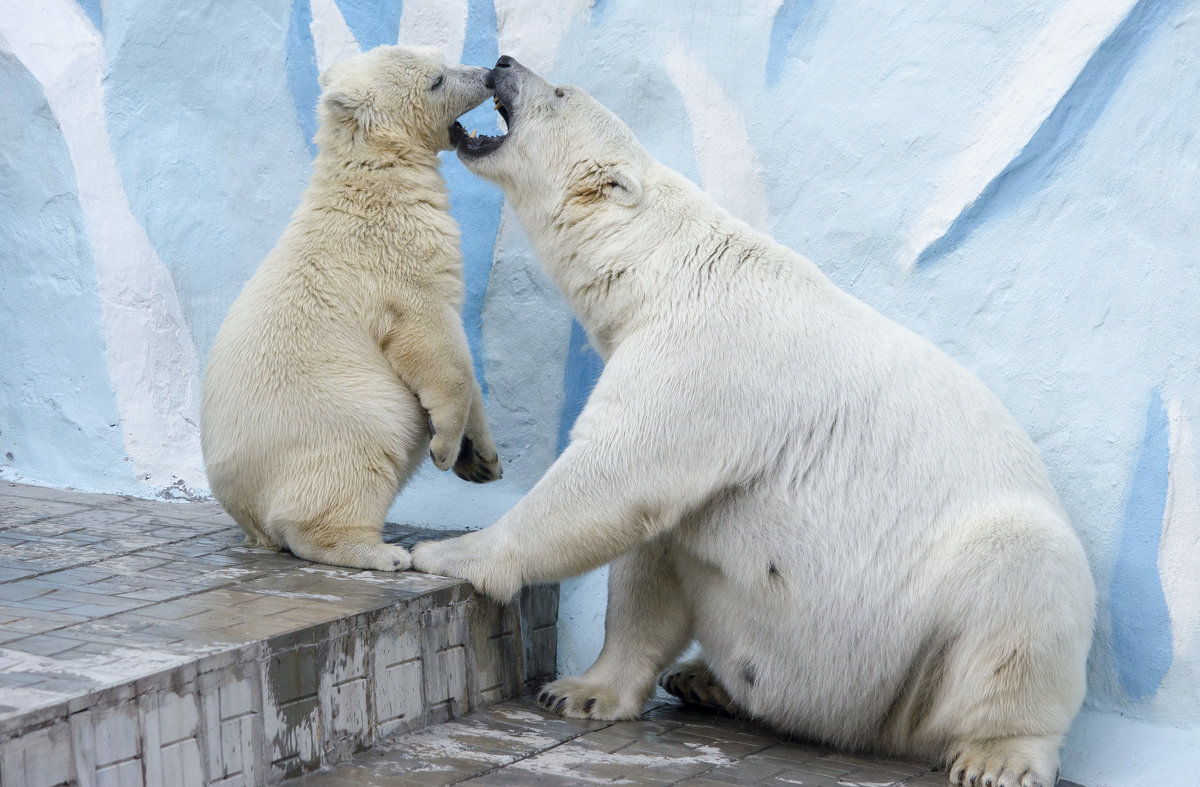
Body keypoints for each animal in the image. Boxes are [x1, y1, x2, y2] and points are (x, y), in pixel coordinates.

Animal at [415, 56, 1099, 787]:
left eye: (561, 91)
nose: (504, 62)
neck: (666, 265)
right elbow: (654, 553)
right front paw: (583, 690)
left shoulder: (705, 360)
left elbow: (614, 476)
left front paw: (446, 552)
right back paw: (703, 679)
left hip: (943, 621)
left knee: (1020, 592)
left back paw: (998, 754)